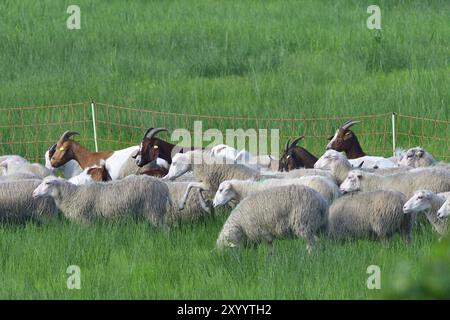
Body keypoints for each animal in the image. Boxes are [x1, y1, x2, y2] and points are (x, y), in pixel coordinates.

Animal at [32, 175, 169, 225]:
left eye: (48, 183)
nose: (33, 193)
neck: (72, 194)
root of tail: (164, 186)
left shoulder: (85, 220)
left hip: (154, 210)